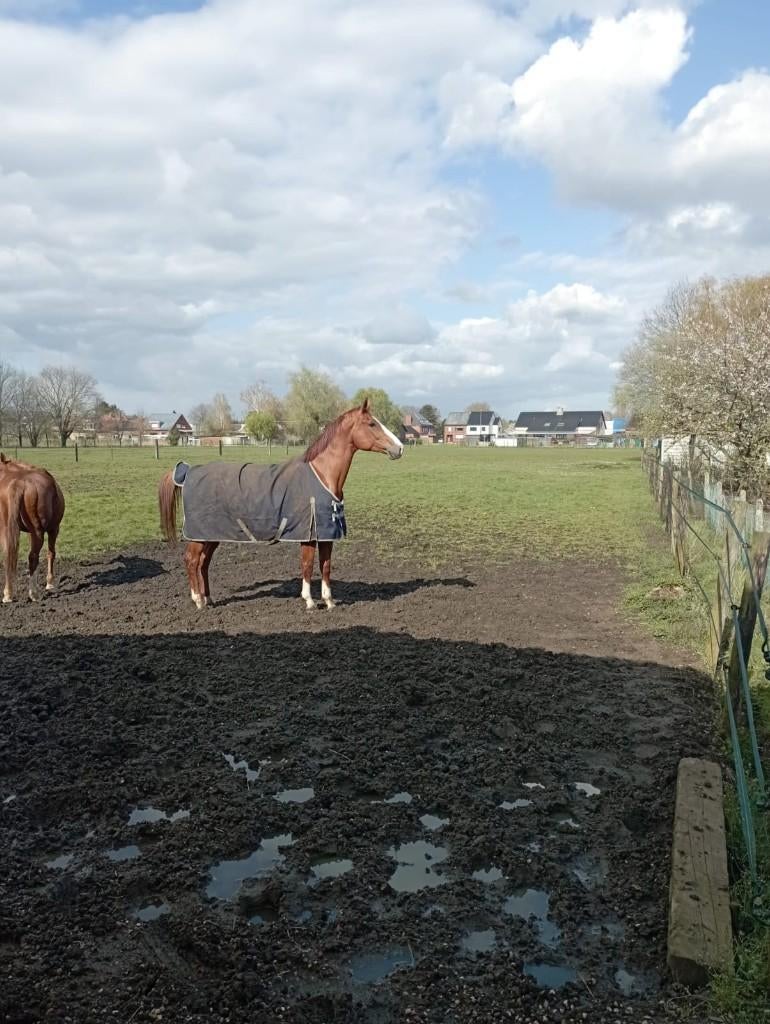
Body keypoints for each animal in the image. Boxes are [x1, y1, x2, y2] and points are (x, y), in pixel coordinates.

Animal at [0, 452, 65, 604]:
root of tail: (18, 483)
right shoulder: (54, 529)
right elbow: (51, 553)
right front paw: (50, 583)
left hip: (7, 530)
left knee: (8, 556)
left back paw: (8, 594)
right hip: (38, 532)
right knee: (33, 557)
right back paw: (34, 593)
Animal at [158, 398, 403, 609]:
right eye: (372, 423)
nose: (400, 448)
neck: (322, 475)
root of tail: (188, 472)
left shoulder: (326, 534)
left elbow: (325, 566)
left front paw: (329, 601)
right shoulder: (308, 535)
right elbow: (307, 565)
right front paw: (309, 601)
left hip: (211, 535)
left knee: (203, 563)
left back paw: (208, 598)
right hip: (199, 535)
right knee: (191, 560)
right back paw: (198, 600)